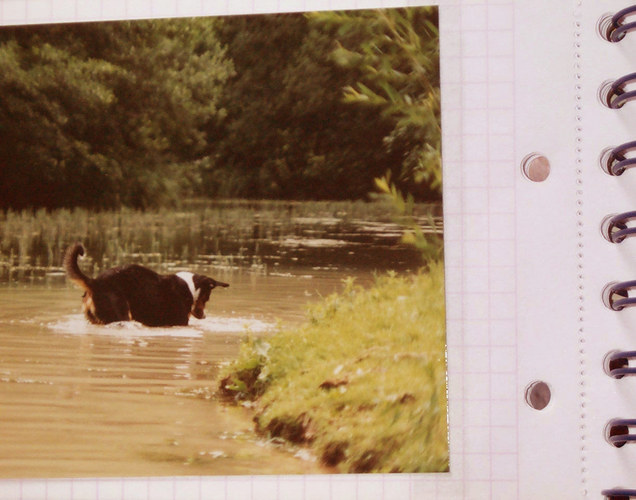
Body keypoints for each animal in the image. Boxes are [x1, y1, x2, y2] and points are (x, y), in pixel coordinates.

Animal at [62, 243, 230, 328]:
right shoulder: (181, 322)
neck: (191, 288)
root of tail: (94, 282)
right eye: (207, 298)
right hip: (120, 315)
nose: (204, 316)